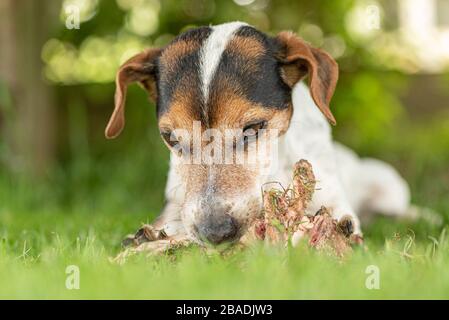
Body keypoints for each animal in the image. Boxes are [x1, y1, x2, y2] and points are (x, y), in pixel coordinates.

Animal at [104, 21, 410, 249]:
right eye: (172, 139)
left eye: (253, 128)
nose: (215, 233)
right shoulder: (175, 203)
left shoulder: (336, 201)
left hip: (387, 182)